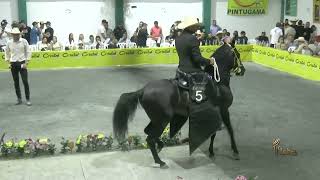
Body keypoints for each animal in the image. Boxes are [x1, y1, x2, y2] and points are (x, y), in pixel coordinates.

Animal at [112, 44, 245, 168]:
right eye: (237, 54)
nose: (242, 70)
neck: (219, 84)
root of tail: (143, 90)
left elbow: (214, 133)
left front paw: (211, 151)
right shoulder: (223, 110)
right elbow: (230, 130)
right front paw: (235, 151)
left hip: (156, 119)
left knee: (148, 132)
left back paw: (160, 147)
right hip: (162, 120)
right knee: (150, 138)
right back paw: (160, 161)